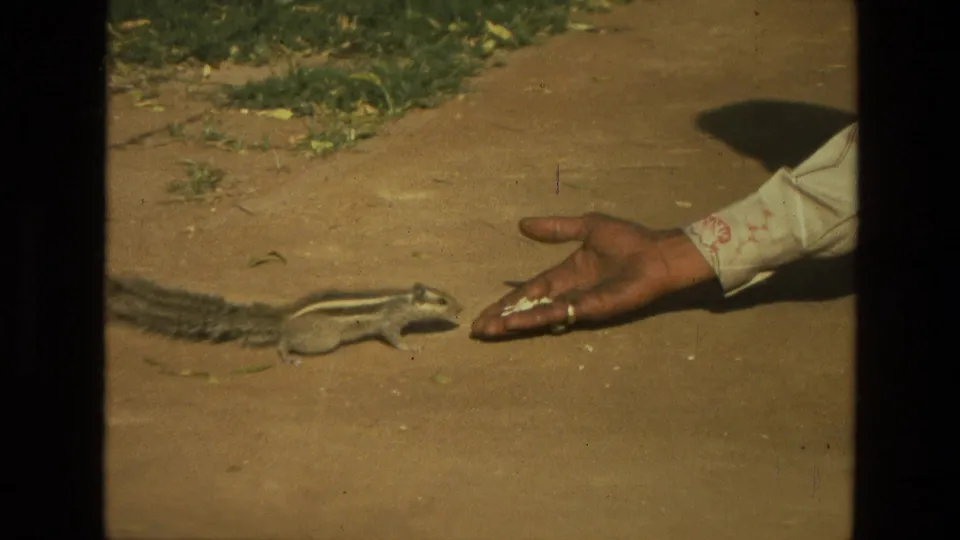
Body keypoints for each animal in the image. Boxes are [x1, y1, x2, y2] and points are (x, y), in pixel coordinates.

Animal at [105, 275, 463, 365]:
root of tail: (285, 318)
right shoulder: (389, 322)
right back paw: (287, 356)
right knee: (283, 342)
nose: (460, 310)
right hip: (324, 340)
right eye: (443, 301)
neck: (402, 298)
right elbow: (393, 337)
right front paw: (410, 347)